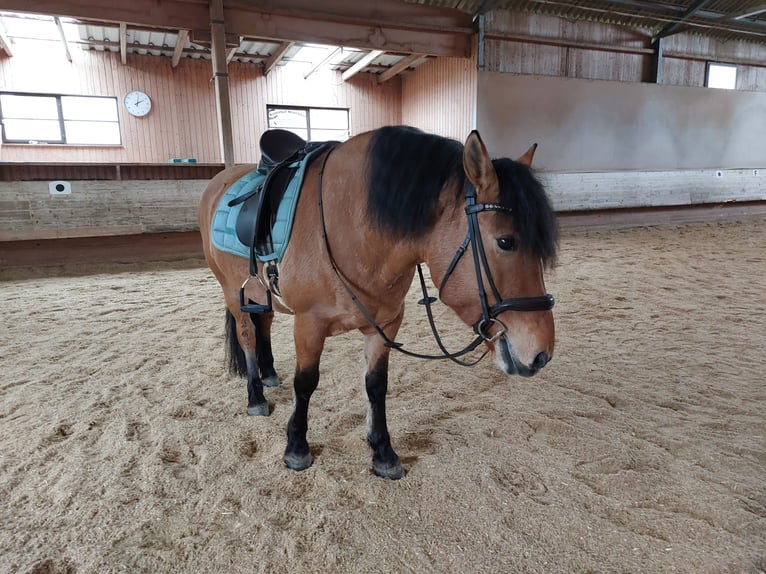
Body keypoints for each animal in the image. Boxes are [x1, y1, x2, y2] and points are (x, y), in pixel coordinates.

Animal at [198, 125, 558, 479]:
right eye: (506, 241)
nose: (541, 355)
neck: (353, 228)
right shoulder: (309, 324)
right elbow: (306, 383)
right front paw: (297, 448)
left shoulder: (384, 325)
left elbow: (375, 385)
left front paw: (383, 452)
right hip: (233, 293)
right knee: (247, 336)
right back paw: (256, 395)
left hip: (261, 294)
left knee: (265, 324)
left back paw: (270, 373)